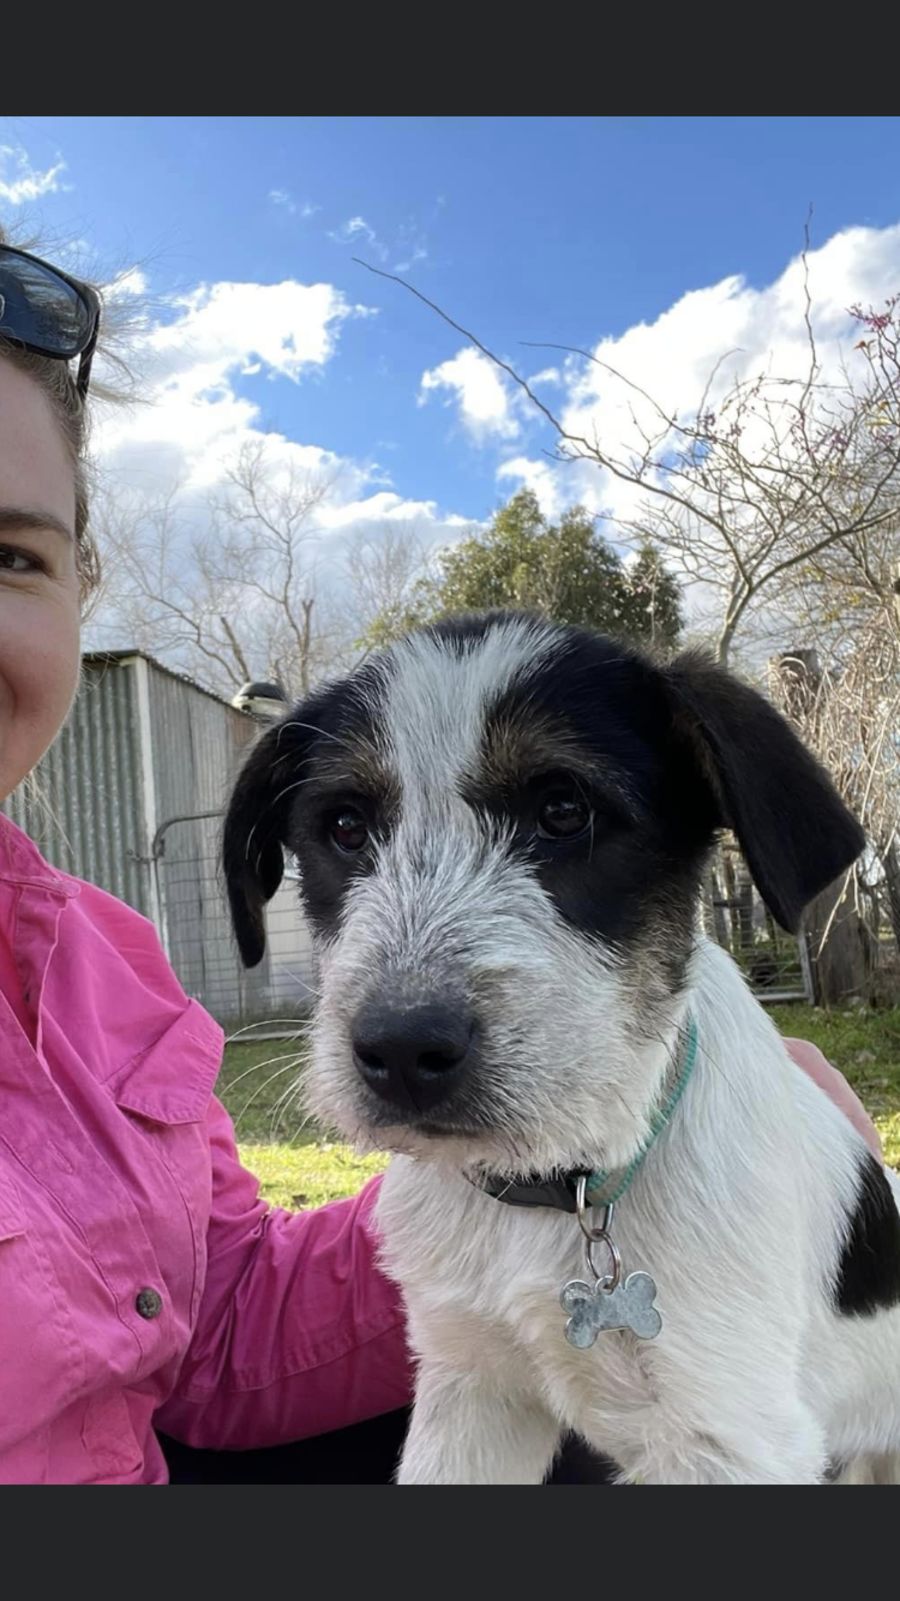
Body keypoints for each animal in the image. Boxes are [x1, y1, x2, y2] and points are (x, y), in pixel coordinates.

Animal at [223, 612, 900, 1484]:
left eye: (564, 810)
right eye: (343, 826)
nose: (401, 1049)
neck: (563, 1189)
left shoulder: (728, 1434)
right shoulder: (469, 1392)